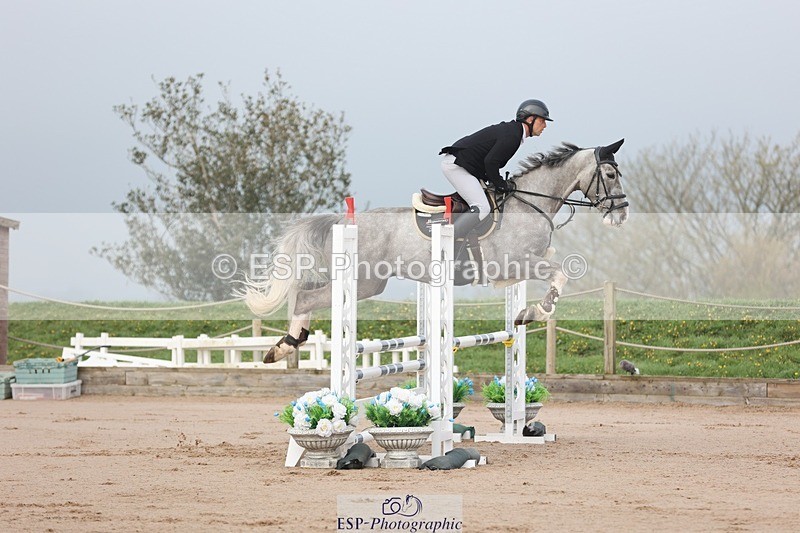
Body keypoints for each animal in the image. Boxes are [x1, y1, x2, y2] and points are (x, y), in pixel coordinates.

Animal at [239, 139, 629, 362]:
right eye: (610, 175)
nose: (622, 213)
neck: (528, 203)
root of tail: (343, 219)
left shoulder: (527, 263)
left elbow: (556, 267)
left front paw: (528, 311)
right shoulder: (514, 263)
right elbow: (560, 273)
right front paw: (536, 311)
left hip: (367, 282)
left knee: (305, 294)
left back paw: (286, 343)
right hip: (364, 282)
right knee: (305, 297)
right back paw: (285, 345)